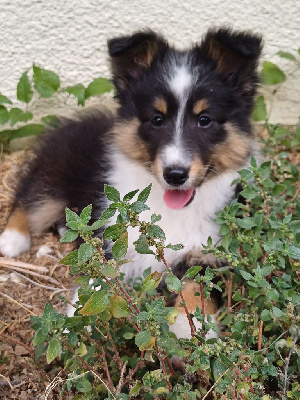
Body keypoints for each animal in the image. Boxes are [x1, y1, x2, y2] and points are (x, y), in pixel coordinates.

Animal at [0, 26, 262, 336]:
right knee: (28, 197)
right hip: (53, 175)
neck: (170, 209)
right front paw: (75, 326)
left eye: (205, 120)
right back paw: (11, 239)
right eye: (157, 119)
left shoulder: (209, 255)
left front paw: (192, 332)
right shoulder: (112, 239)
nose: (175, 175)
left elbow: (196, 292)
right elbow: (99, 284)